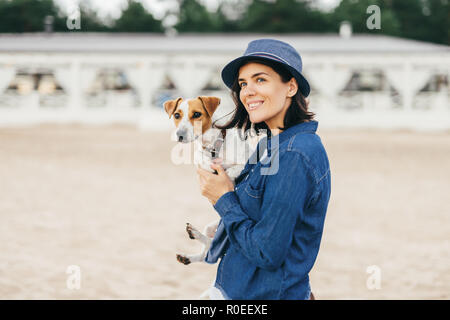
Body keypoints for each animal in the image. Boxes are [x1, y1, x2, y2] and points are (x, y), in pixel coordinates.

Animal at [164, 97, 253, 264]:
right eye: (177, 115)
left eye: (197, 114)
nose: (179, 135)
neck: (213, 147)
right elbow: (202, 160)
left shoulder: (248, 161)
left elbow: (234, 169)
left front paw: (228, 177)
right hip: (212, 227)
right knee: (207, 251)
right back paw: (190, 249)